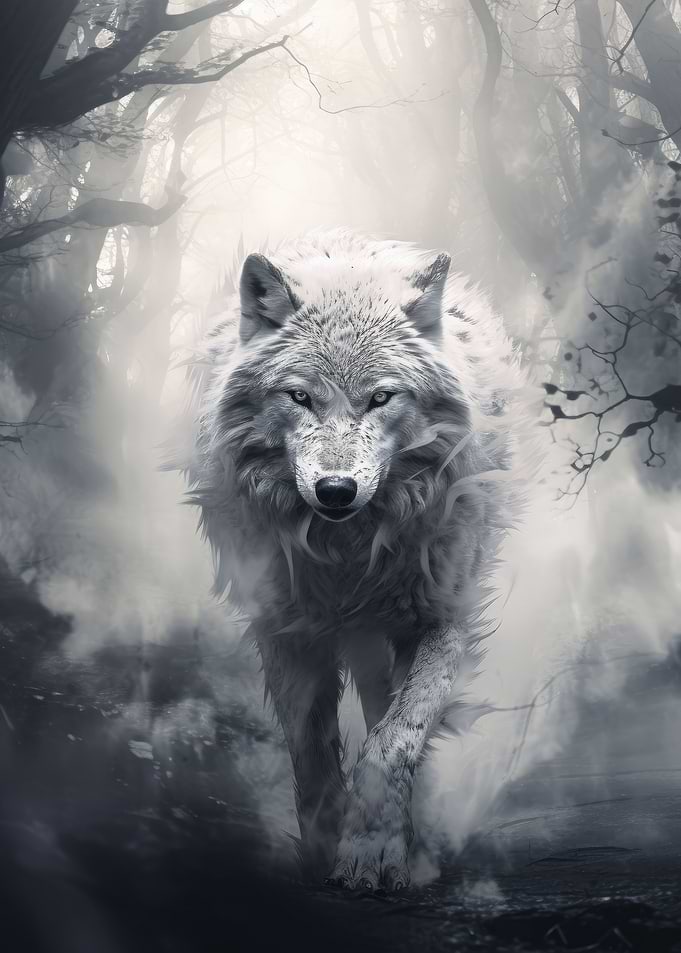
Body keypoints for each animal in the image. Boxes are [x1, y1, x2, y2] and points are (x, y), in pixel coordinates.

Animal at [184, 230, 526, 890]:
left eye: (380, 399)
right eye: (299, 397)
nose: (336, 490)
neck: (347, 554)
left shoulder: (443, 620)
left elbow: (393, 742)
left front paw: (372, 852)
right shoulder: (285, 628)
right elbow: (311, 750)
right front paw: (324, 851)